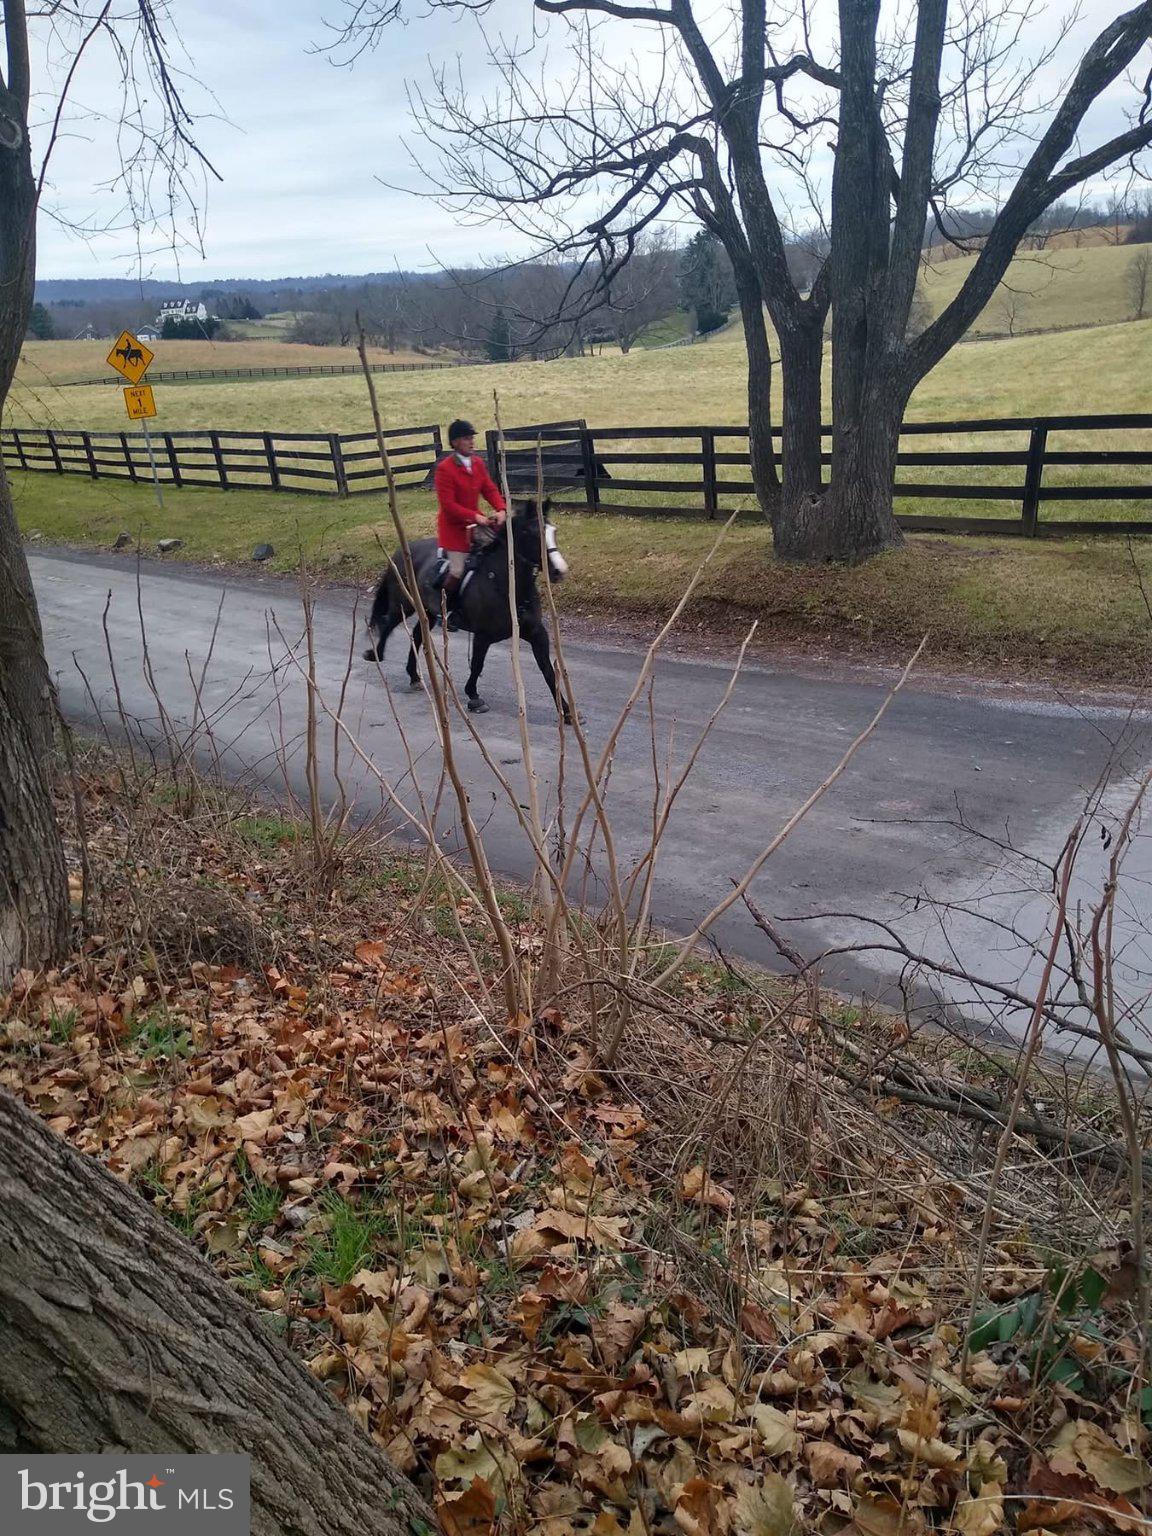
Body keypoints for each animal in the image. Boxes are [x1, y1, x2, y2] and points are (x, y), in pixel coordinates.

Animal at [362, 498, 572, 719]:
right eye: (533, 533)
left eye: (553, 531)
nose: (560, 571)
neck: (507, 584)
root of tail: (404, 549)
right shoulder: (483, 636)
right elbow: (477, 665)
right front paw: (473, 696)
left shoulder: (537, 633)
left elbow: (547, 669)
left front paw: (567, 712)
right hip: (404, 603)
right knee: (388, 624)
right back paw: (375, 654)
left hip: (427, 612)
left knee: (417, 635)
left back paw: (413, 676)